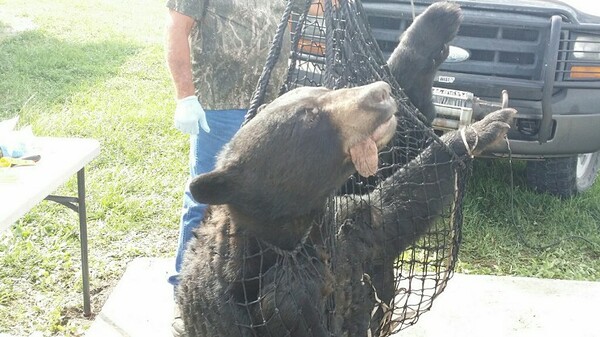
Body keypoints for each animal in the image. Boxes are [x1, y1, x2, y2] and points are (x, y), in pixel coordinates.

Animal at [175, 1, 516, 334]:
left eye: (324, 92)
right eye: (309, 116)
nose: (378, 92)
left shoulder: (345, 221)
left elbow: (396, 191)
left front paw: (436, 23)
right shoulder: (269, 300)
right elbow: (396, 205)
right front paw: (478, 130)